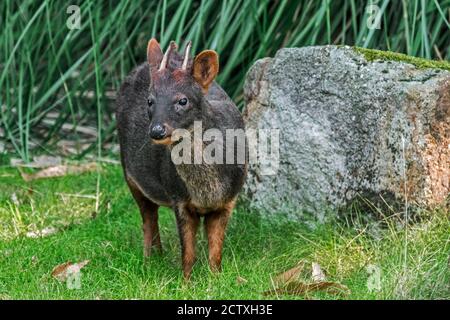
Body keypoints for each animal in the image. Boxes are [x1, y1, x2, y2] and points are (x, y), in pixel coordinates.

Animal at [116, 39, 248, 280]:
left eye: (183, 100)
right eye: (150, 101)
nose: (157, 131)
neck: (207, 190)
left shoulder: (228, 200)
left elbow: (216, 251)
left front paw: (216, 278)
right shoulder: (179, 198)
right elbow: (187, 252)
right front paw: (186, 282)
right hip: (130, 175)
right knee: (148, 219)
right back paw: (149, 260)